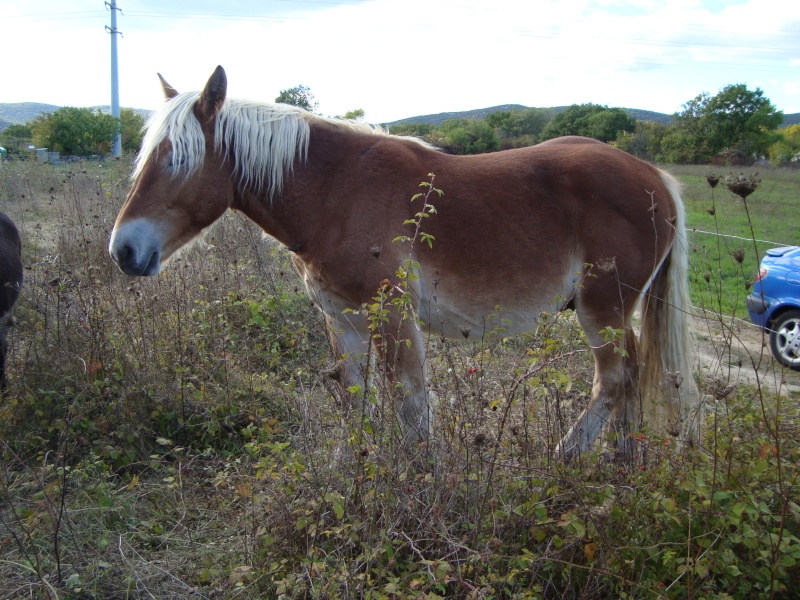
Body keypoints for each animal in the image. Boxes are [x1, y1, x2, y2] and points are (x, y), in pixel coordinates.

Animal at [108, 67, 700, 460]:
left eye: (178, 160)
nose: (124, 251)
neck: (334, 190)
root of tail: (655, 177)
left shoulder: (391, 313)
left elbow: (412, 404)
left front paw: (423, 480)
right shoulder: (343, 319)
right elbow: (355, 398)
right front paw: (354, 468)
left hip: (603, 310)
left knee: (615, 379)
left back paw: (566, 457)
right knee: (632, 376)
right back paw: (621, 460)